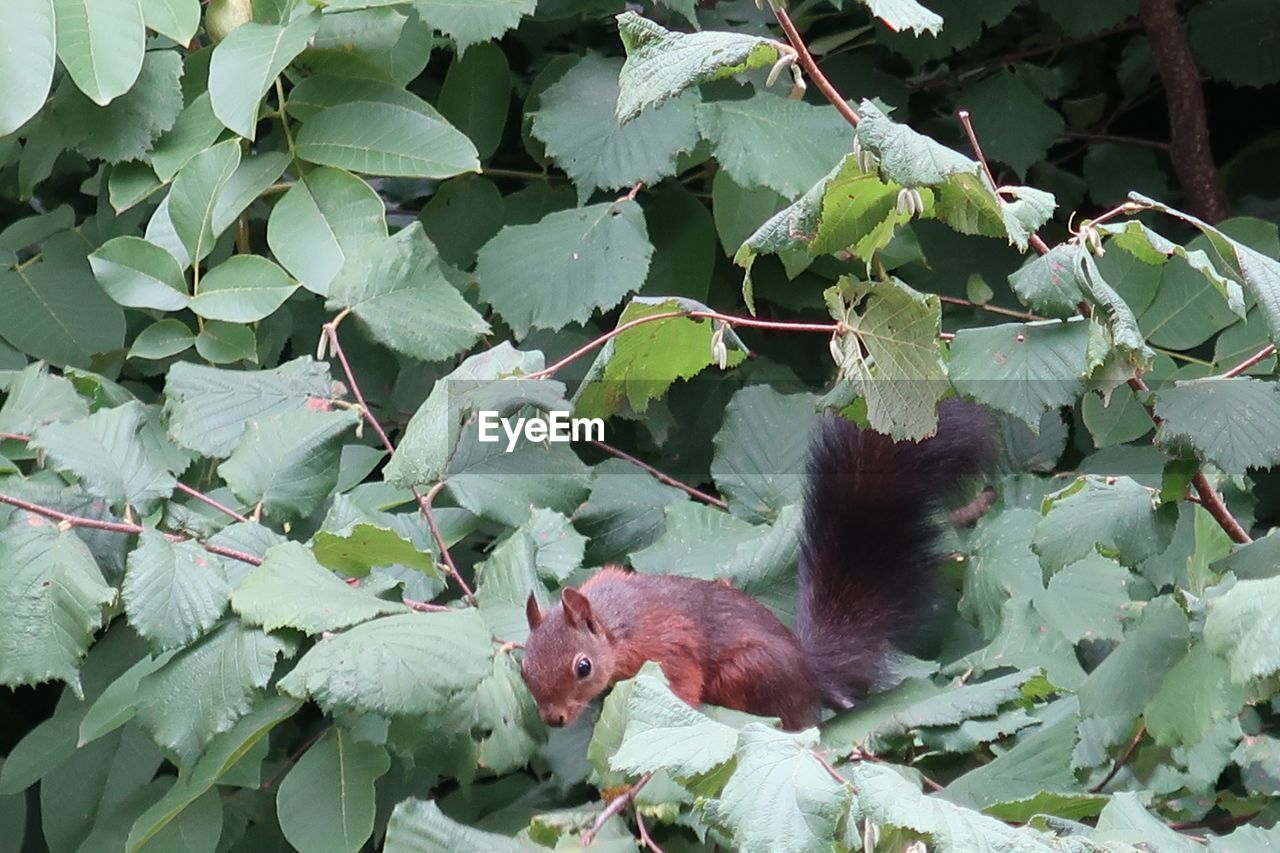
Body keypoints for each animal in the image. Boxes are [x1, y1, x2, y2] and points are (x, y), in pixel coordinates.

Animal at [517, 399, 988, 732]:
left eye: (583, 667)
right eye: (523, 667)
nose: (553, 719)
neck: (615, 621)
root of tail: (811, 676)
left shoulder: (669, 646)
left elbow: (681, 679)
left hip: (751, 671)